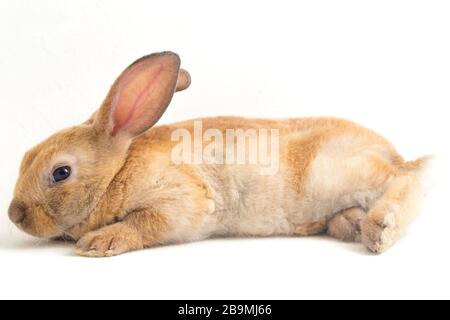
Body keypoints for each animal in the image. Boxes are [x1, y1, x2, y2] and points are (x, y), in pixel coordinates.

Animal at [7, 52, 432, 258]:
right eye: (25, 156)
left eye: (61, 173)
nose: (14, 215)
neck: (115, 174)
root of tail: (393, 153)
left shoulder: (180, 200)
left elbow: (145, 222)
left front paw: (98, 243)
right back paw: (352, 225)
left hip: (342, 172)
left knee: (404, 182)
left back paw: (379, 230)